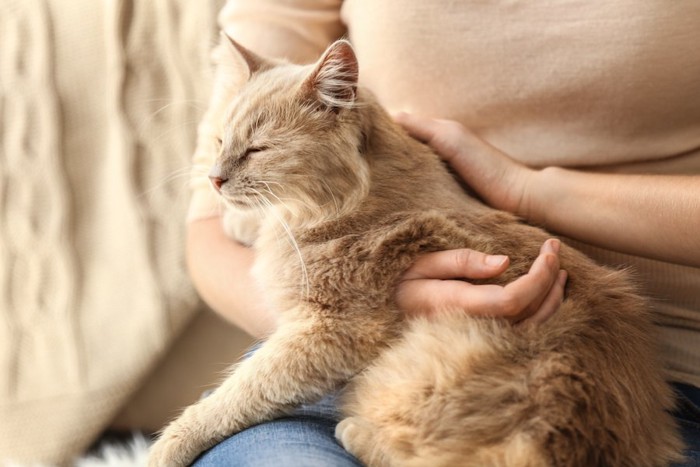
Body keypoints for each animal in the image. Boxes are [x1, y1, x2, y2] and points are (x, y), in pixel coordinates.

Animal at [149, 37, 684, 467]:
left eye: (257, 149)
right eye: (220, 139)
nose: (214, 178)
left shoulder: (328, 333)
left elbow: (235, 395)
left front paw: (166, 446)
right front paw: (239, 220)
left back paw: (353, 430)